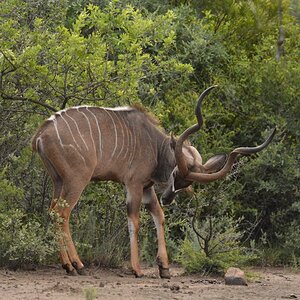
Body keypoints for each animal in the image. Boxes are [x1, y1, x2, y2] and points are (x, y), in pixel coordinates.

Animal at [31, 86, 276, 278]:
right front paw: (137, 269)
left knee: (53, 211)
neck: (154, 145)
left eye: (186, 184)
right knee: (62, 213)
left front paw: (164, 268)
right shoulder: (134, 184)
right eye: (176, 175)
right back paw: (77, 265)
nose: (168, 198)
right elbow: (135, 220)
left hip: (58, 181)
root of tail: (41, 134)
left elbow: (159, 216)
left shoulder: (147, 187)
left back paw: (67, 265)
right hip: (77, 180)